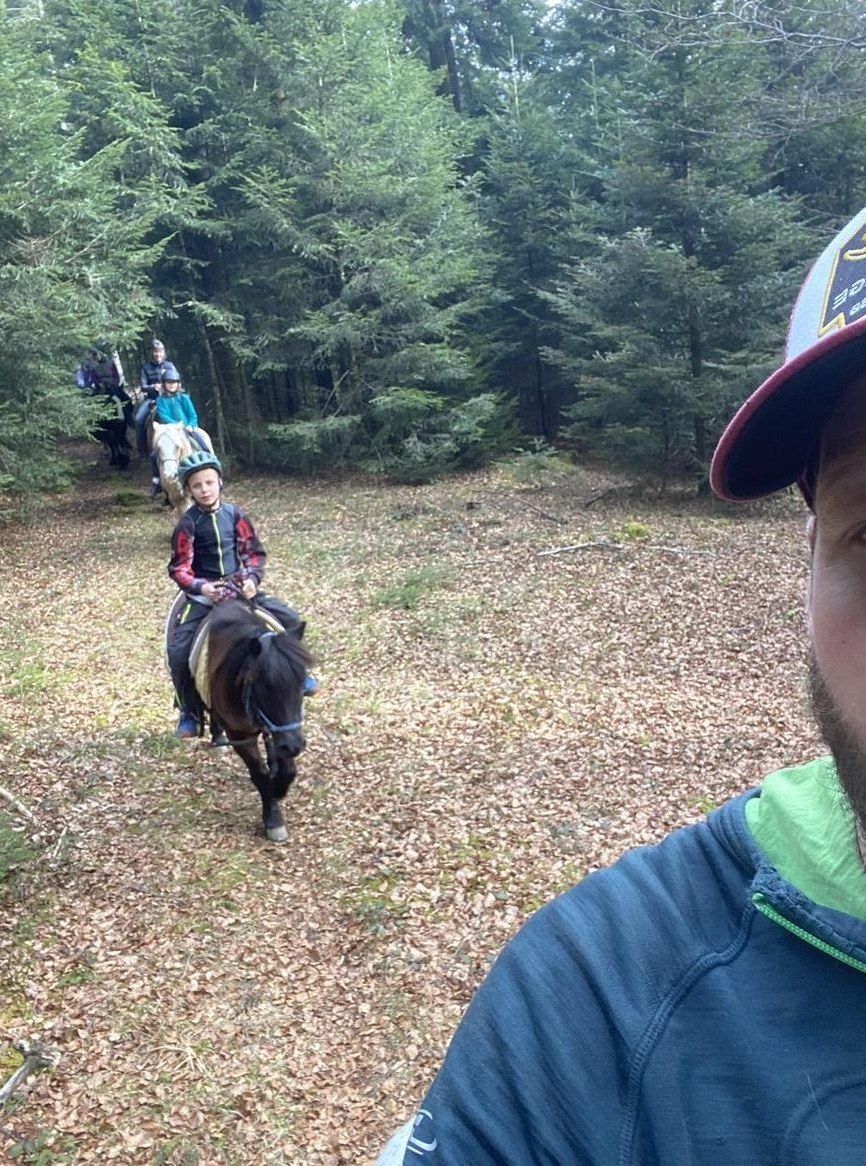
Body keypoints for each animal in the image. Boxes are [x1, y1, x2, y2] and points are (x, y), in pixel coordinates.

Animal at [195, 600, 313, 842]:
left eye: (301, 681)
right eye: (265, 686)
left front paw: (279, 786)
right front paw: (274, 819)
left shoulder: (280, 731)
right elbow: (259, 774)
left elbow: (288, 769)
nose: (294, 745)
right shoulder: (241, 735)